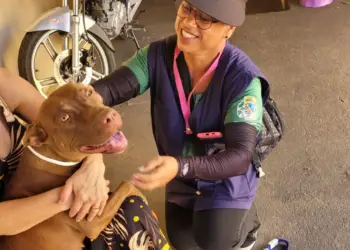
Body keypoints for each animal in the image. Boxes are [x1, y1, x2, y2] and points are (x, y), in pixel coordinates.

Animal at [0, 82, 144, 250]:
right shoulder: (92, 222)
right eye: (64, 118)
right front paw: (139, 192)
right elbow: (127, 184)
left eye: (89, 93)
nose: (110, 116)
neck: (54, 158)